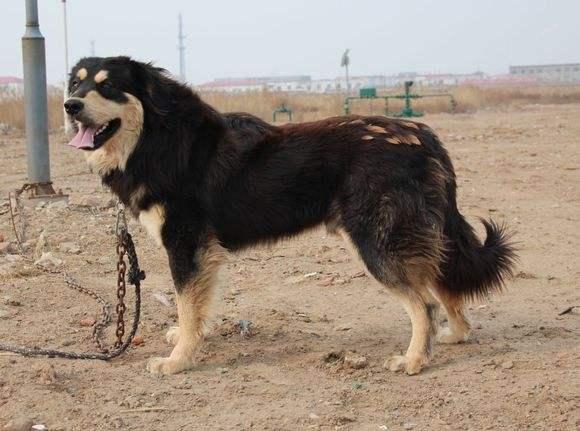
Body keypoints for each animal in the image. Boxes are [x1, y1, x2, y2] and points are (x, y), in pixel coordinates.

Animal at [65, 56, 516, 374]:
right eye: (75, 83)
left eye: (108, 86)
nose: (70, 105)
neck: (158, 138)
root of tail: (424, 135)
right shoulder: (200, 253)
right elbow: (194, 306)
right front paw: (186, 339)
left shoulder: (186, 245)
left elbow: (187, 304)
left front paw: (178, 360)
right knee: (444, 285)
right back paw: (454, 335)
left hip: (378, 244)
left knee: (425, 304)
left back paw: (414, 360)